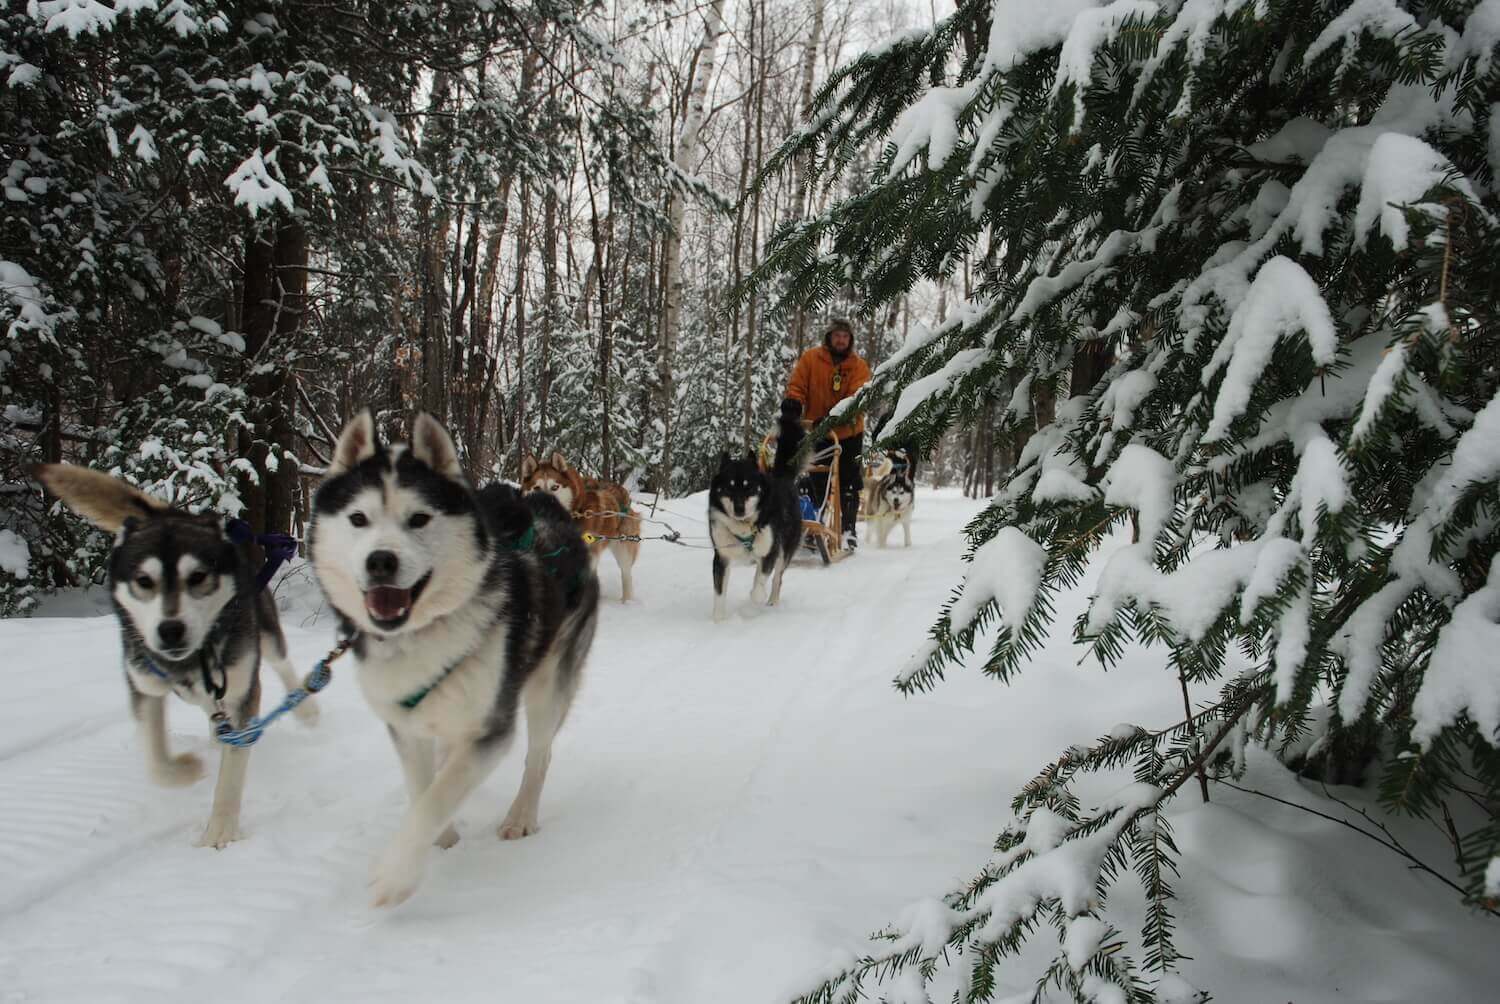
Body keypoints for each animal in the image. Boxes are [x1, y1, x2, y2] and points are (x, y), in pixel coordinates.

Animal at [29, 462, 313, 846]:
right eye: (143, 581)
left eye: (198, 576)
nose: (170, 630)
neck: (192, 661)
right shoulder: (144, 687)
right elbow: (155, 760)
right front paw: (186, 769)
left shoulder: (242, 691)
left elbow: (231, 772)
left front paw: (220, 830)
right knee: (211, 708)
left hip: (264, 633)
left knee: (282, 664)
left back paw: (308, 710)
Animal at [309, 411, 597, 906]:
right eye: (358, 518)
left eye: (419, 518)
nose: (380, 561)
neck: (421, 635)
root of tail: (548, 509)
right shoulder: (405, 726)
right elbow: (422, 788)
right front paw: (440, 838)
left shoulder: (490, 730)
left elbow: (435, 799)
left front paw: (397, 874)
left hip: (547, 687)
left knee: (538, 756)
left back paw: (520, 815)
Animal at [705, 414, 804, 618]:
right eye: (728, 488)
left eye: (749, 487)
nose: (739, 509)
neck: (743, 527)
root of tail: (782, 477)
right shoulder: (722, 557)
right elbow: (719, 592)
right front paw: (718, 619)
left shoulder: (770, 552)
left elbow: (759, 586)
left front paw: (756, 598)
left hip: (784, 551)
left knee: (777, 578)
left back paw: (772, 600)